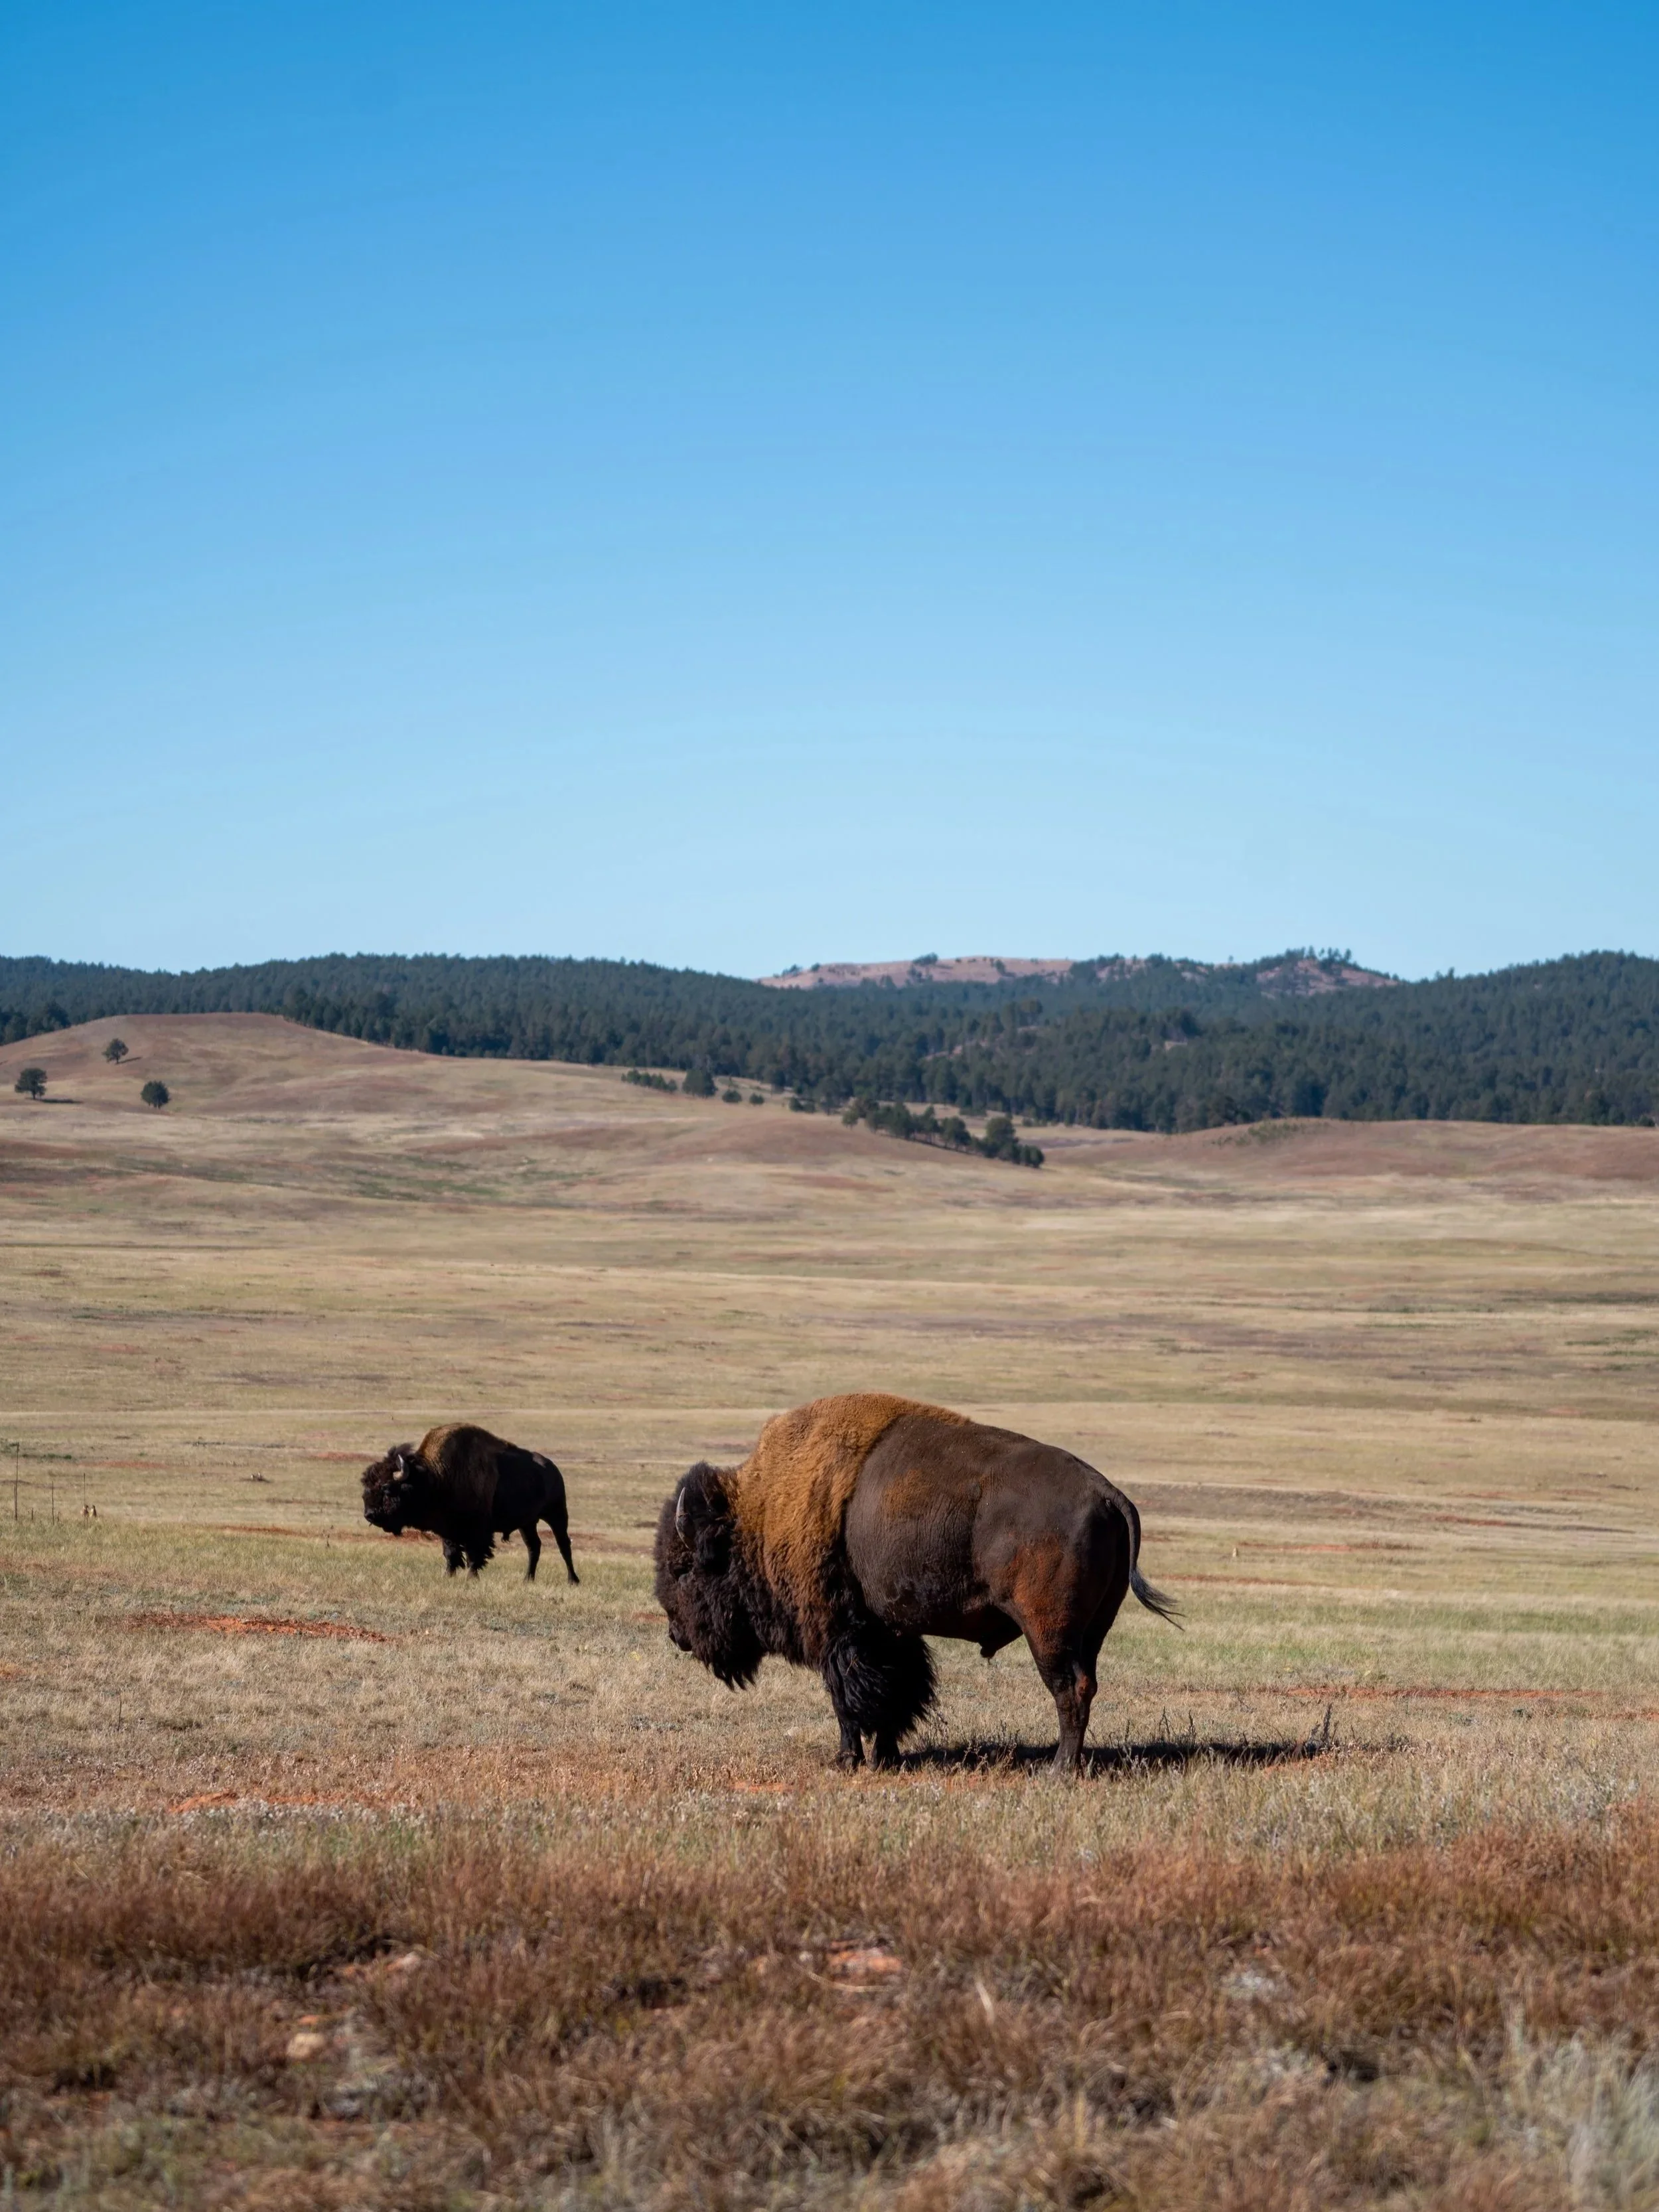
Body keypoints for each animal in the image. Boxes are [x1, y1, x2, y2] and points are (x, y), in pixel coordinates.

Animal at [361, 1423, 578, 1583]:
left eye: (387, 1488)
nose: (369, 1514)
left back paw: (572, 1580)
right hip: (527, 1523)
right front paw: (448, 1575)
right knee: (534, 1547)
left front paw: (471, 1578)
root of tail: (553, 1469)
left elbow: (474, 1554)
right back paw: (527, 1580)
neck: (435, 1477)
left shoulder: (477, 1530)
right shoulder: (448, 1530)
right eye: (367, 1485)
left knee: (563, 1545)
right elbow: (451, 1553)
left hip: (557, 1514)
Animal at [654, 1392, 1176, 1776]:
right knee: (1086, 1685)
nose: (676, 1634)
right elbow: (896, 1693)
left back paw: (1059, 1769)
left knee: (1069, 1689)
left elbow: (850, 1699)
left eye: (685, 1569)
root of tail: (1109, 1495)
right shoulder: (892, 1632)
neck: (759, 1515)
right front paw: (885, 1757)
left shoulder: (840, 1635)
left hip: (1048, 1631)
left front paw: (847, 1760)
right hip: (1091, 1632)